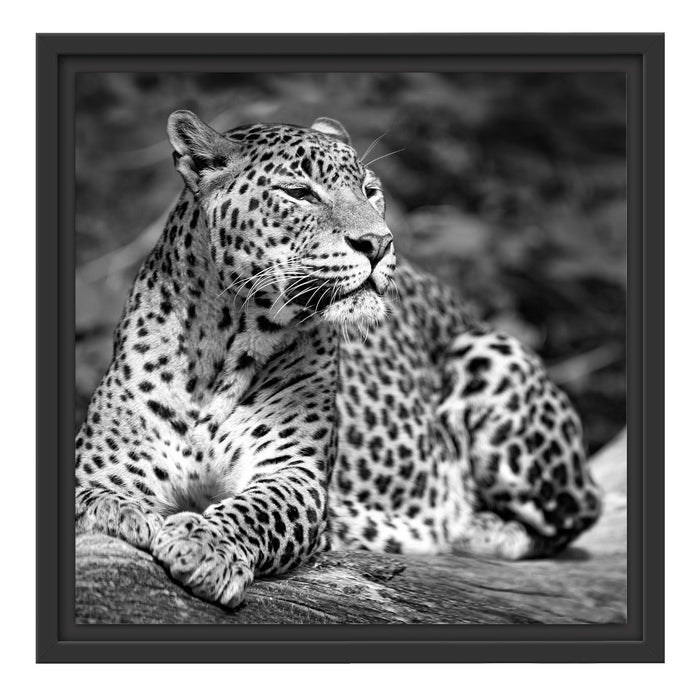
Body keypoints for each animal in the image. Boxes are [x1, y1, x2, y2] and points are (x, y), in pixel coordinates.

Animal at [75, 110, 603, 609]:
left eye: (371, 191)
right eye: (299, 193)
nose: (379, 243)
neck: (223, 344)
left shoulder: (295, 475)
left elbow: (254, 511)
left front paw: (204, 544)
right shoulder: (104, 463)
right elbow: (93, 496)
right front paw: (119, 512)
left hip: (491, 352)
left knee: (579, 512)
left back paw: (477, 528)